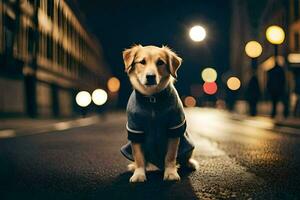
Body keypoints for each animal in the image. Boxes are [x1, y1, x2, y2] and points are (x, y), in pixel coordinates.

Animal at [119, 44, 199, 182]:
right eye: (142, 62)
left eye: (160, 62)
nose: (150, 76)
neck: (152, 99)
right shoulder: (136, 130)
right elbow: (139, 157)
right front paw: (139, 174)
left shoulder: (174, 128)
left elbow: (171, 156)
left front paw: (171, 172)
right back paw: (134, 166)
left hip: (188, 144)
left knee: (185, 158)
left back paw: (190, 164)